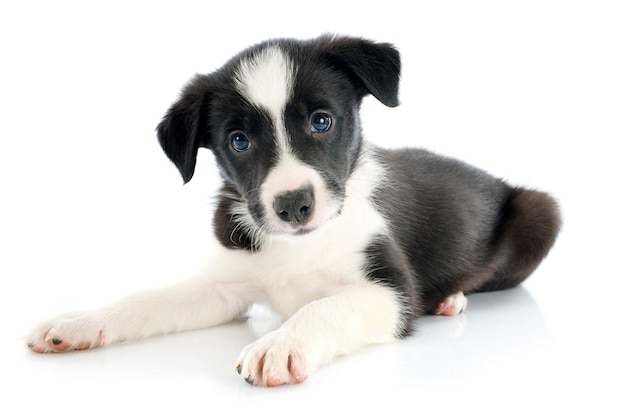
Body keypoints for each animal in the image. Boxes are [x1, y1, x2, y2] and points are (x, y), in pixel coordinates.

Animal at [26, 34, 560, 386]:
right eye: (238, 141)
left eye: (321, 121)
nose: (293, 205)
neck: (299, 246)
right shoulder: (223, 286)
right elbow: (145, 300)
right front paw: (77, 322)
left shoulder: (391, 291)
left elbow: (326, 305)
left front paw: (280, 343)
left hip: (543, 212)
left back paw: (452, 298)